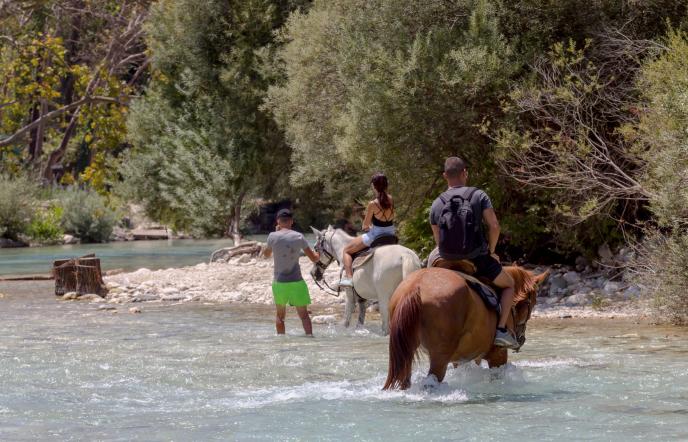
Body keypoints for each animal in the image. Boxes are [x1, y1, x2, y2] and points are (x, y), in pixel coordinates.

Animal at [384, 266, 544, 390]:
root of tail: (417, 286)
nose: (521, 339)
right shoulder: (498, 355)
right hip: (439, 357)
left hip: (408, 352)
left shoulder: (462, 359)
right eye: (532, 302)